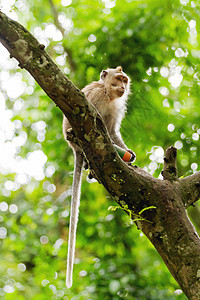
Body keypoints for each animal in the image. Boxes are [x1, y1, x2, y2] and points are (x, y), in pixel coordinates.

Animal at [62, 66, 134, 288]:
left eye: (125, 80)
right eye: (118, 78)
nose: (123, 86)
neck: (108, 94)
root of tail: (74, 149)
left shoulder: (117, 107)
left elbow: (111, 131)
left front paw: (129, 154)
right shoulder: (96, 96)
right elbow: (92, 121)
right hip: (75, 140)